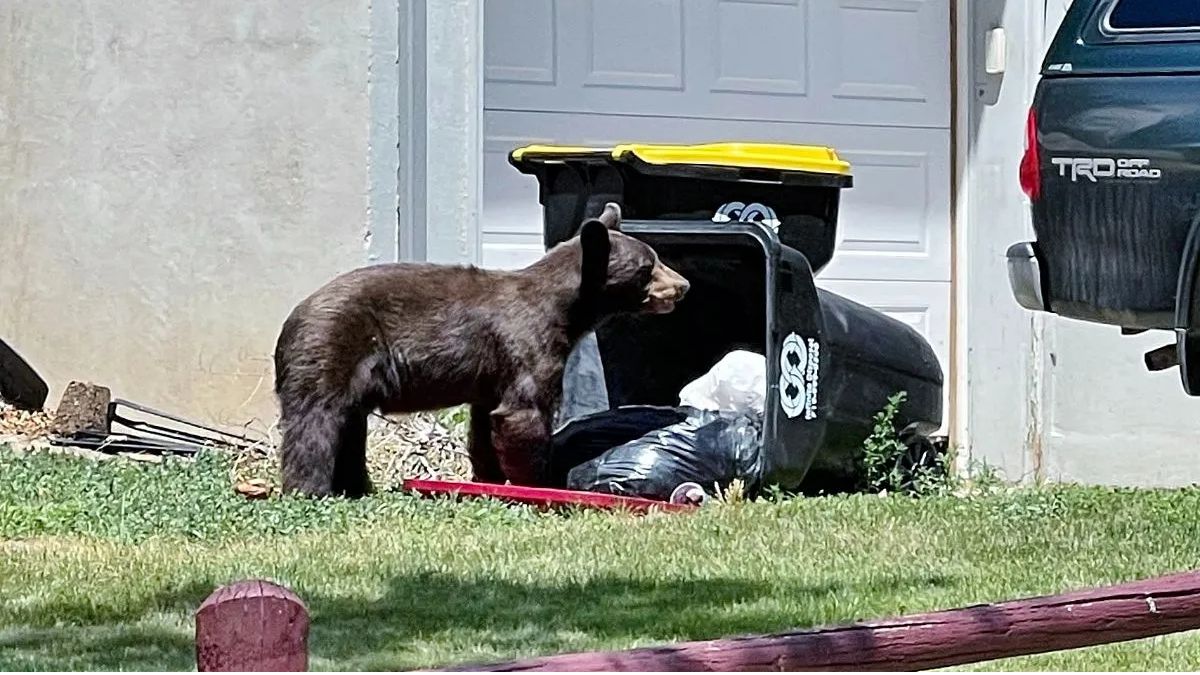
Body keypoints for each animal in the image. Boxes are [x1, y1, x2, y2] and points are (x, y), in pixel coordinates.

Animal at [273, 203, 690, 497]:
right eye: (648, 267)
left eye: (655, 258)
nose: (683, 285)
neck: (564, 311)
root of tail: (290, 321)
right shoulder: (527, 345)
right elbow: (523, 414)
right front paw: (539, 484)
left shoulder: (492, 373)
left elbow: (486, 425)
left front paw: (488, 478)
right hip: (331, 349)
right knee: (317, 423)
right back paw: (311, 489)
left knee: (348, 425)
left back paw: (355, 487)